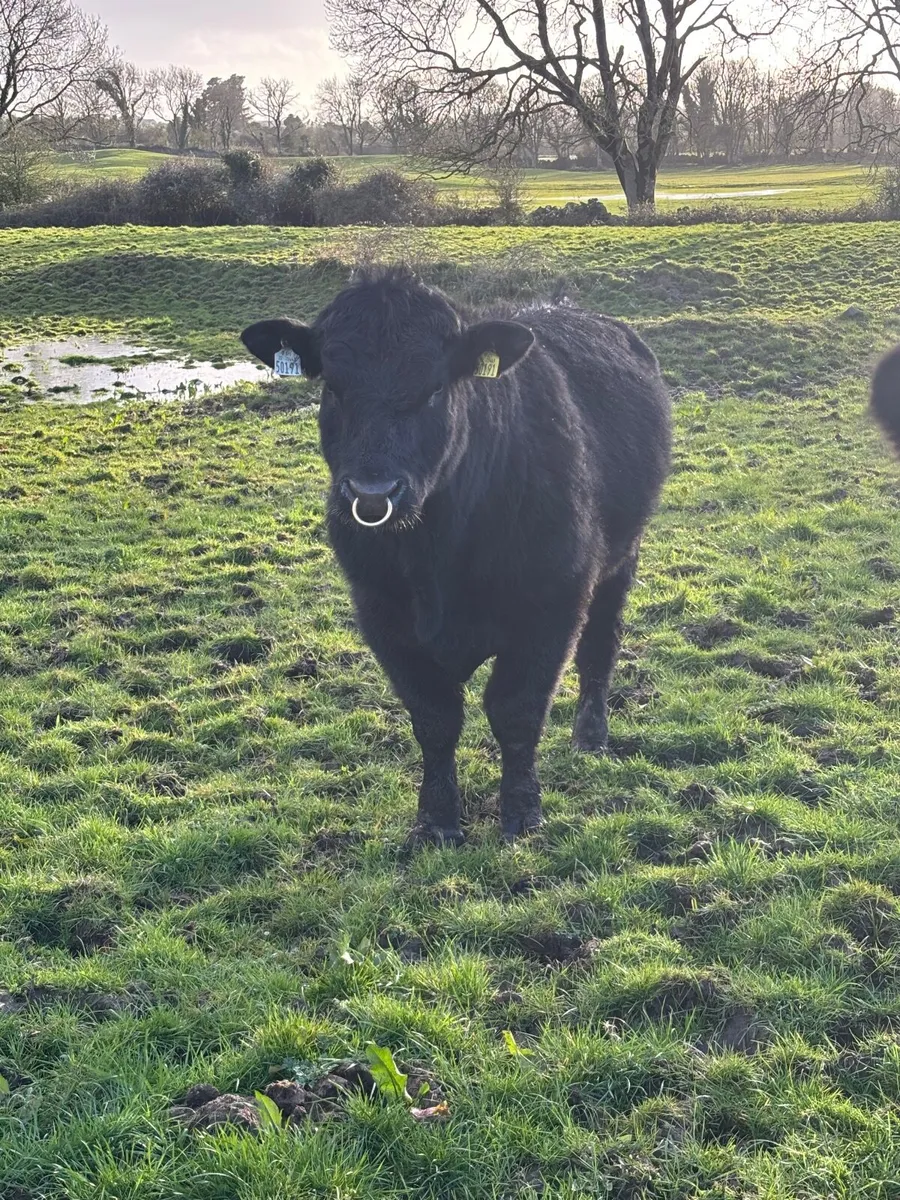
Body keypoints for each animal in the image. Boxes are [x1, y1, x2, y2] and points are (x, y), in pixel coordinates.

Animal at [241, 267, 671, 843]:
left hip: (622, 559)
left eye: (436, 387)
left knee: (600, 648)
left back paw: (591, 736)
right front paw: (437, 820)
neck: (437, 559)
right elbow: (435, 718)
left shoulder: (552, 607)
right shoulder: (382, 616)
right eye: (332, 385)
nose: (373, 492)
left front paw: (521, 813)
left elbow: (516, 711)